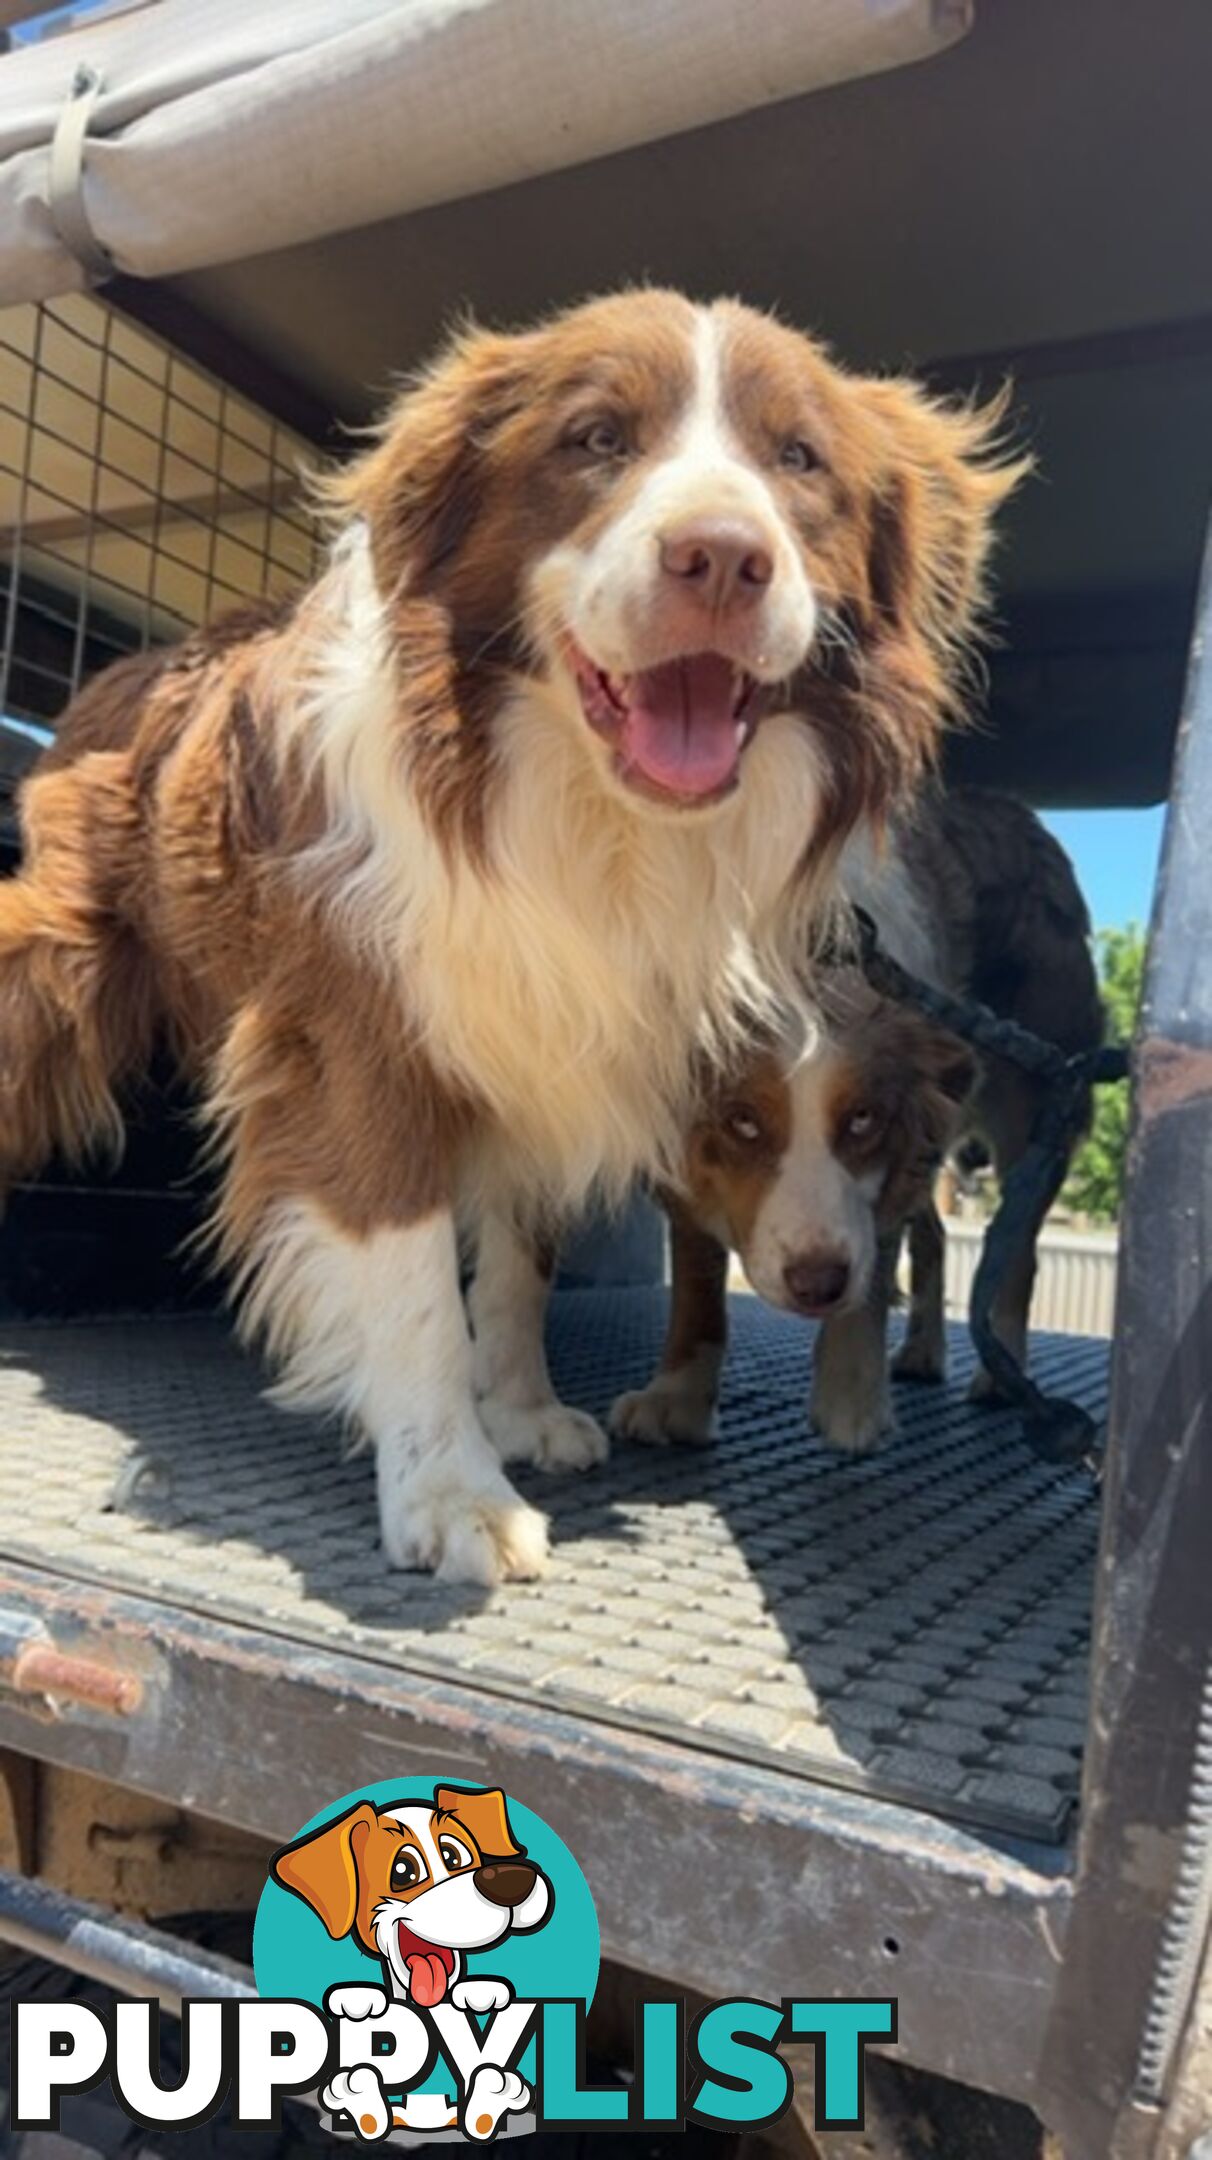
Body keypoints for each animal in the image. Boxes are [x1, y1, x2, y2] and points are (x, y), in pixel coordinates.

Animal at [0, 291, 1019, 1572]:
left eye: (799, 460)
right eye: (596, 440)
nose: (722, 558)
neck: (581, 813)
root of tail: (118, 669)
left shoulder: (551, 1034)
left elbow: (521, 1263)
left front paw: (524, 1411)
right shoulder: (362, 1041)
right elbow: (414, 1280)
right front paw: (450, 1488)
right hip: (52, 970)